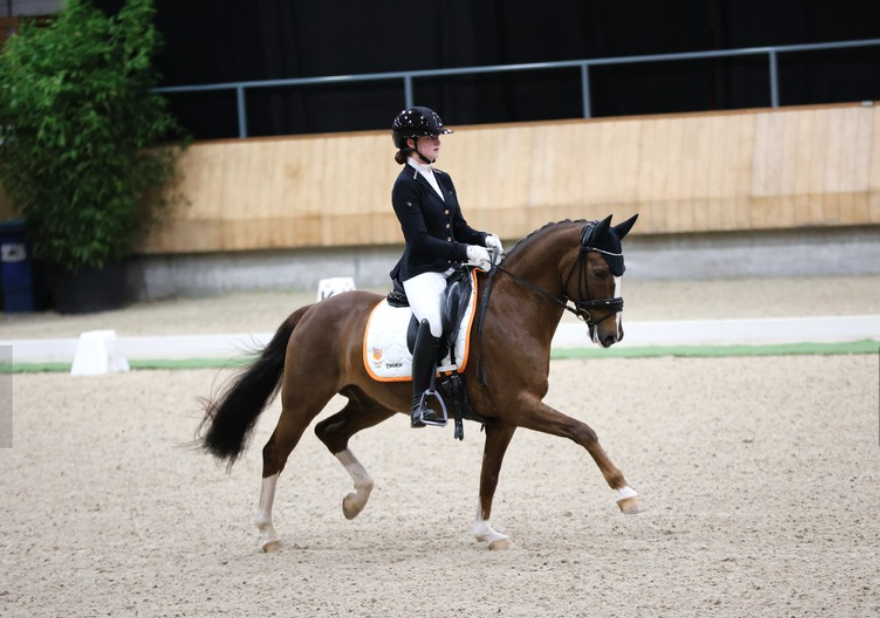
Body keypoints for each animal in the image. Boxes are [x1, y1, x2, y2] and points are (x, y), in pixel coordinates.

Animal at [199, 213, 644, 552]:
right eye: (601, 271)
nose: (612, 335)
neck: (514, 308)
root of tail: (312, 310)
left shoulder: (505, 419)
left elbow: (489, 474)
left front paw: (486, 532)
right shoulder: (519, 405)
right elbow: (582, 431)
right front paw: (626, 494)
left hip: (371, 403)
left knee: (330, 432)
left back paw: (355, 500)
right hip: (303, 399)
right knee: (276, 451)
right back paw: (268, 533)